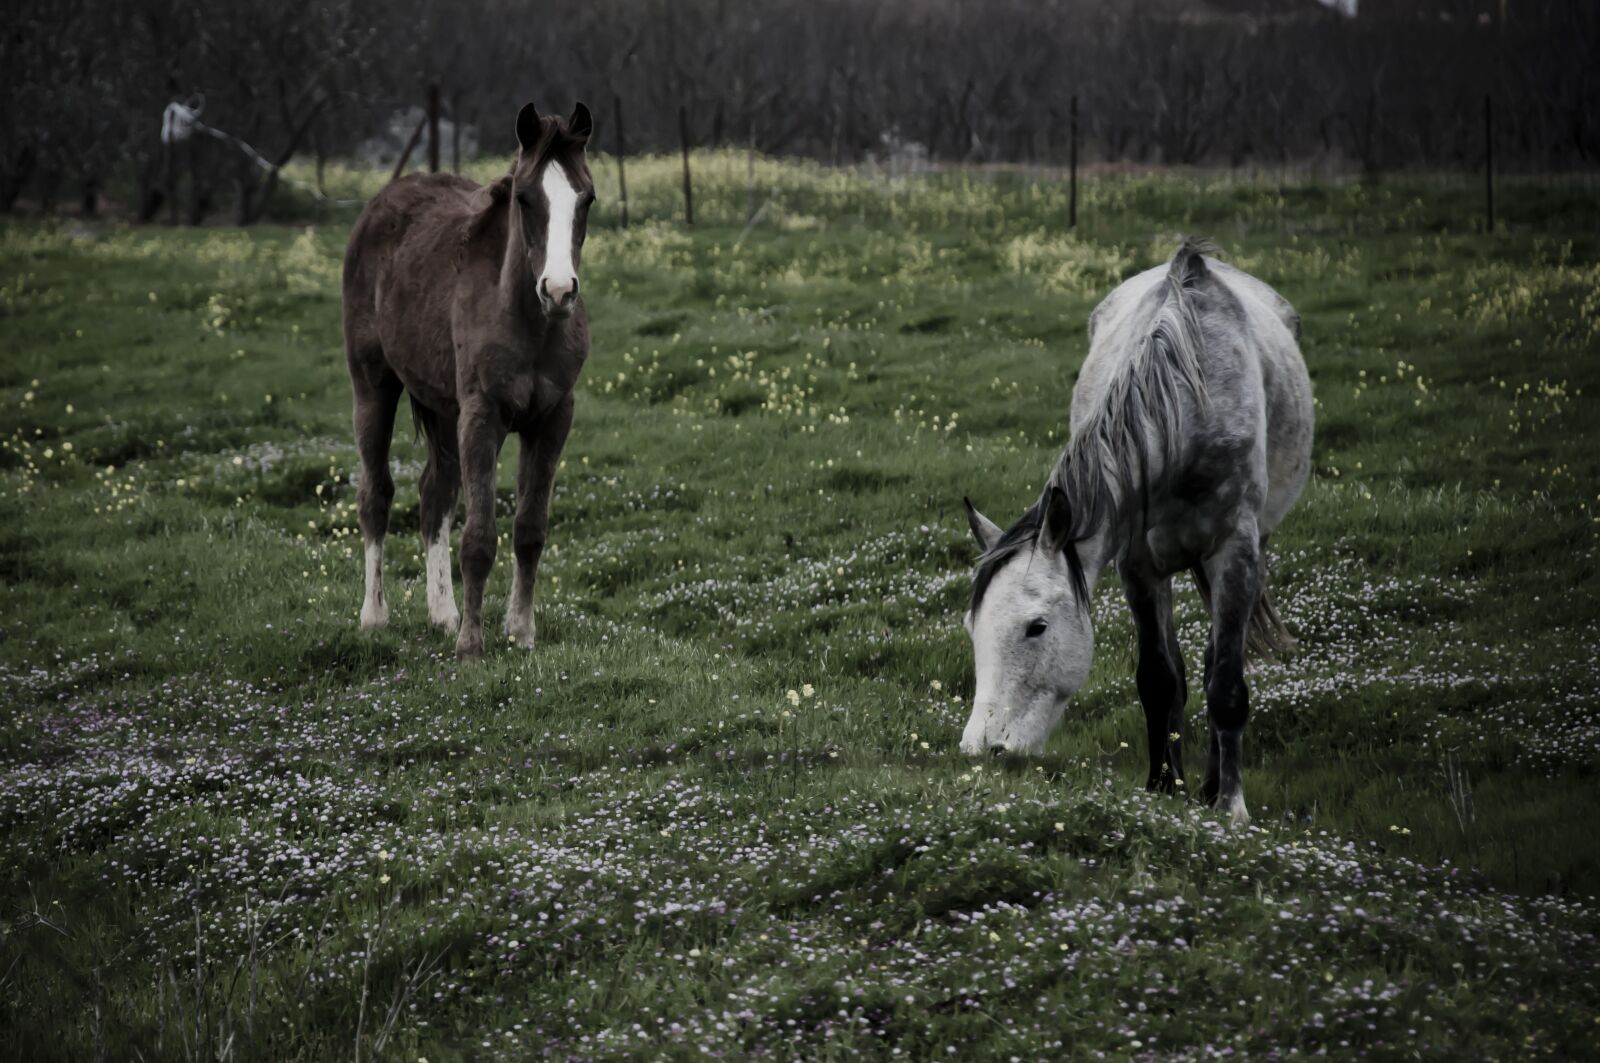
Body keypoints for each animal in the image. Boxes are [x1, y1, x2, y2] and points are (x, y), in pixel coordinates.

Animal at [342, 102, 596, 658]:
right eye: (524, 198)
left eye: (586, 198)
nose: (559, 290)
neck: (524, 319)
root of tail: (381, 203)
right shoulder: (482, 417)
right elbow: (479, 538)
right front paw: (471, 646)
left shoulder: (553, 419)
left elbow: (529, 529)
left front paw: (520, 631)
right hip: (373, 387)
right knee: (377, 494)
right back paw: (374, 616)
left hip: (442, 407)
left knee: (433, 494)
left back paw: (443, 613)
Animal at [959, 239, 1313, 827]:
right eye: (972, 627)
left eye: (1036, 627)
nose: (981, 748)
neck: (1186, 407)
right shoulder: (1139, 568)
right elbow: (1159, 679)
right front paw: (1162, 788)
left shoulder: (1235, 554)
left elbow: (1226, 684)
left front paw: (1231, 807)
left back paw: (1214, 785)